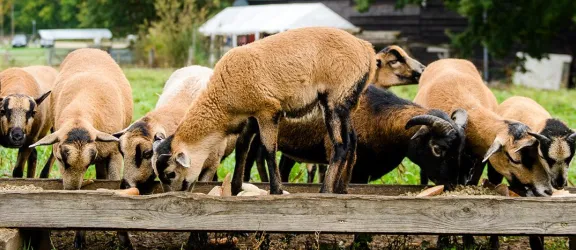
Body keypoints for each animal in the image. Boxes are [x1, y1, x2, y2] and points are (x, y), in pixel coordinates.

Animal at [30, 47, 133, 249]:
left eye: (87, 164)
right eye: (61, 159)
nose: (70, 192)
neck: (80, 112)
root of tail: (89, 48)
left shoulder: (114, 154)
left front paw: (124, 238)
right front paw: (79, 236)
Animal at [152, 27, 424, 195]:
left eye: (170, 173)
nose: (173, 196)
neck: (223, 102)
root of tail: (366, 49)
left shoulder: (268, 110)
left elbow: (269, 150)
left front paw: (276, 189)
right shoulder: (251, 116)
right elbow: (242, 149)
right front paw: (237, 187)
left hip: (334, 100)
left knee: (340, 145)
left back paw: (325, 191)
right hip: (348, 103)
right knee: (353, 143)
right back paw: (342, 189)